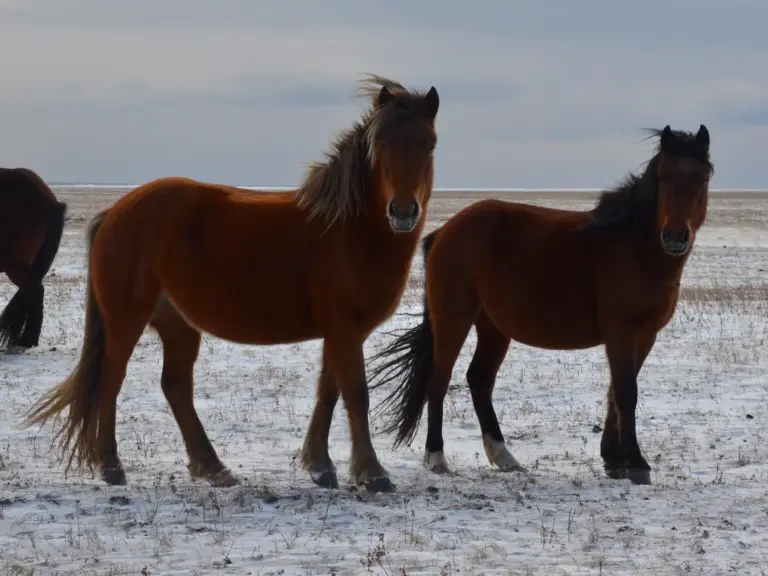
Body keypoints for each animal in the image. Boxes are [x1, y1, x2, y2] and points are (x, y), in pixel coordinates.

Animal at [23, 75, 440, 494]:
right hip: (127, 319)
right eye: (381, 144)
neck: (349, 232)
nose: (403, 212)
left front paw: (320, 465)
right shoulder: (344, 328)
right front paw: (373, 473)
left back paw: (212, 466)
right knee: (111, 379)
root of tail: (115, 212)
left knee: (175, 386)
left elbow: (329, 390)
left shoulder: (341, 332)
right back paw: (112, 466)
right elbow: (355, 394)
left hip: (178, 325)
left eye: (430, 143)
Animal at [367, 125, 713, 486]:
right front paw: (635, 463)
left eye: (703, 177)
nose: (675, 236)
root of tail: (444, 231)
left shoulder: (645, 335)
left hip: (493, 327)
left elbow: (615, 393)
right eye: (664, 176)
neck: (634, 249)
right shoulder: (622, 332)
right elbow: (625, 392)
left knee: (479, 380)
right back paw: (436, 457)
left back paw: (503, 456)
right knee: (439, 381)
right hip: (453, 319)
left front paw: (614, 460)